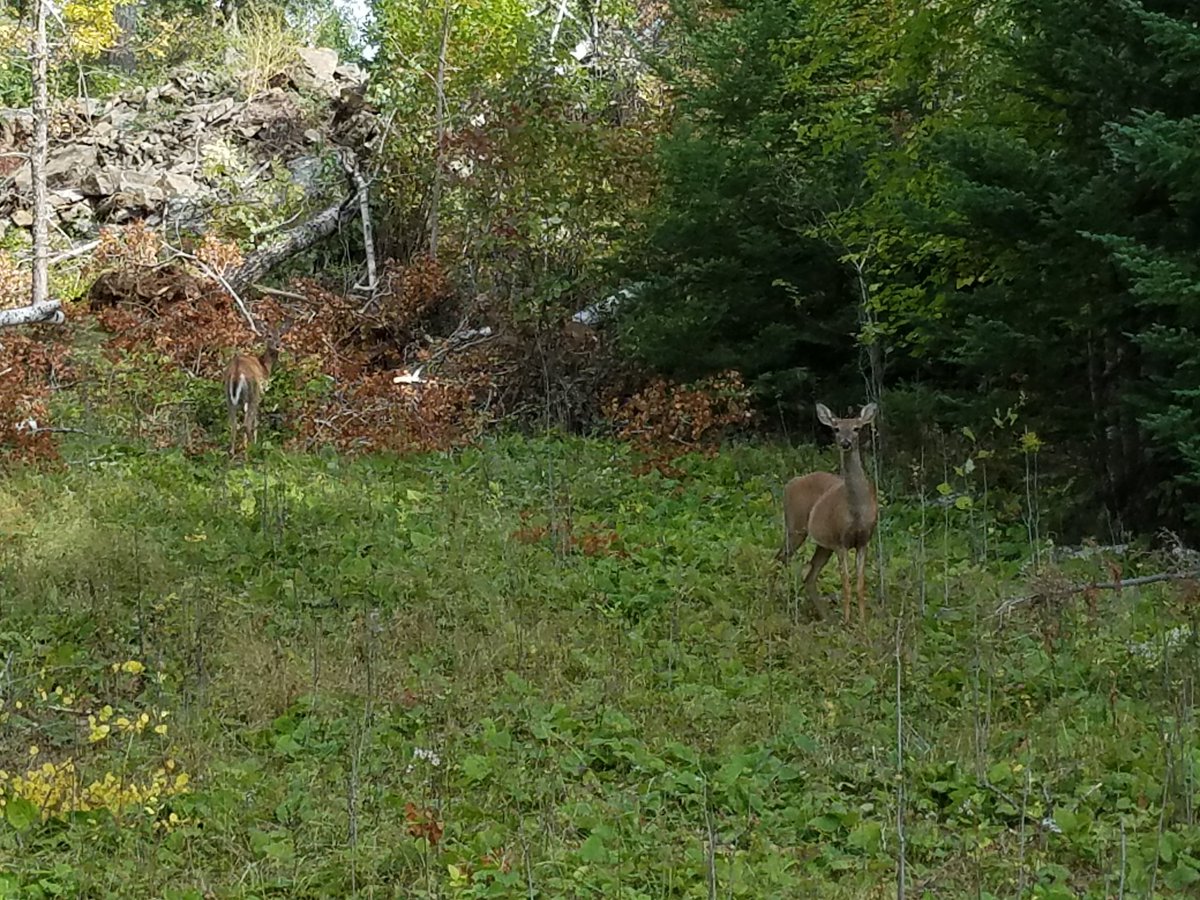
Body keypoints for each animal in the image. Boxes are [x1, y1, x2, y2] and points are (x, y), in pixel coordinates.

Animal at [224, 319, 290, 456]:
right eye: (269, 335)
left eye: (280, 335)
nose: (278, 345)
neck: (265, 366)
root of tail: (237, 373)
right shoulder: (261, 392)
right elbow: (256, 419)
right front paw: (251, 443)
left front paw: (244, 445)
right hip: (254, 393)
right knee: (247, 424)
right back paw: (253, 450)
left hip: (229, 396)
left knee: (234, 424)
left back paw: (232, 452)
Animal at [777, 402, 879, 624]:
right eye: (836, 429)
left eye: (857, 428)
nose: (846, 443)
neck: (856, 512)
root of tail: (790, 483)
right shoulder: (841, 541)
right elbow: (846, 583)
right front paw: (848, 622)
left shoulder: (863, 541)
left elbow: (860, 584)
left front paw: (862, 622)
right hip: (796, 527)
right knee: (781, 557)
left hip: (823, 544)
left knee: (809, 575)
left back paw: (826, 617)